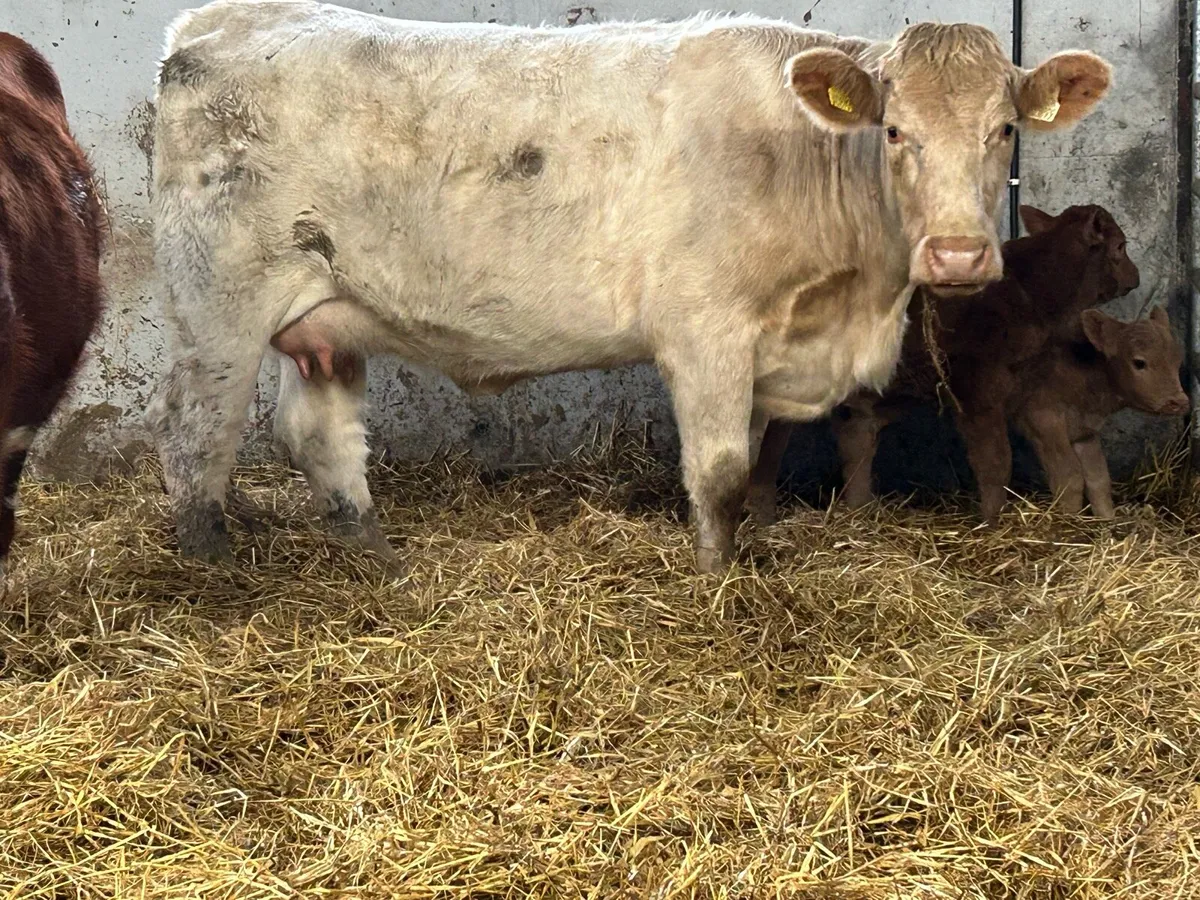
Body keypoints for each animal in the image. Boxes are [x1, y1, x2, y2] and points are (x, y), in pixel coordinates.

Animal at [747, 203, 1141, 525]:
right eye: (1120, 247)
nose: (1136, 278)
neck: (1032, 290)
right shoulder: (977, 392)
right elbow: (995, 462)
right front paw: (994, 525)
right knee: (766, 452)